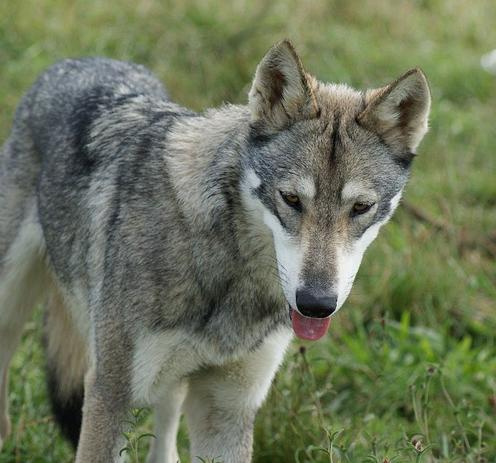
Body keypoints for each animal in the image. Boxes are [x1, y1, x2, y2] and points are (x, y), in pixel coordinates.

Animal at [0, 40, 430, 463]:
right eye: (290, 199)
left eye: (361, 207)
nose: (316, 304)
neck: (233, 269)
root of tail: (80, 59)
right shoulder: (110, 393)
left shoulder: (227, 406)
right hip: (14, 308)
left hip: (172, 383)